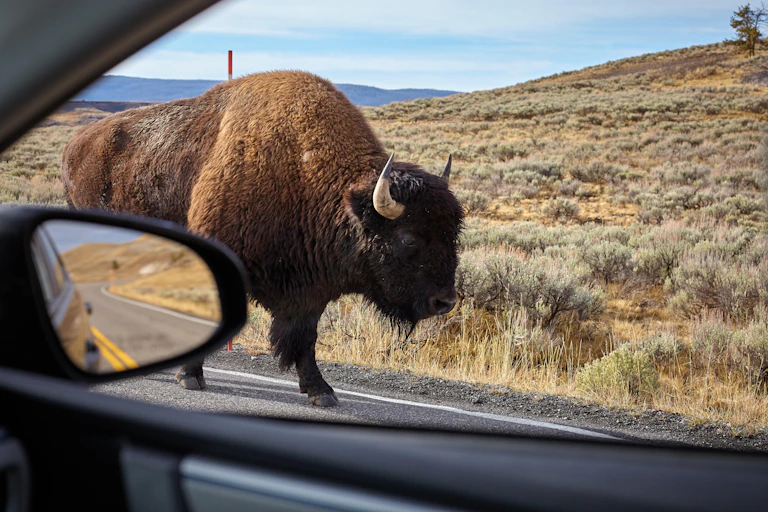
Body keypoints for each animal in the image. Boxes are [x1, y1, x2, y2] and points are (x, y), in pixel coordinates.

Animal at [61, 70, 463, 406]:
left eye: (454, 233)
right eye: (408, 238)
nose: (444, 302)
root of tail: (76, 143)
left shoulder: (310, 288)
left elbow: (305, 338)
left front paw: (321, 391)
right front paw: (190, 377)